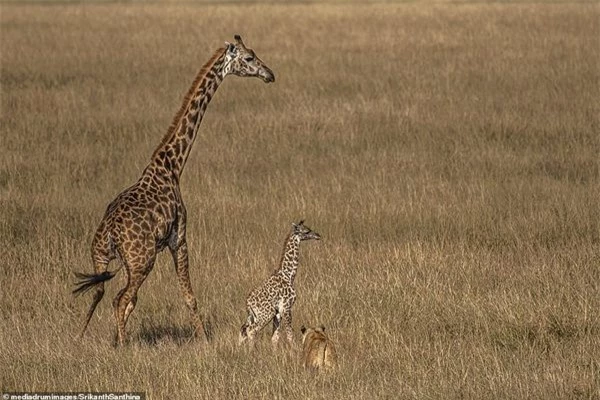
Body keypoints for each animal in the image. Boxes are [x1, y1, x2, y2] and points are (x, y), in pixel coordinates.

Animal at [74, 36, 276, 346]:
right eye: (249, 58)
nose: (270, 75)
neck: (171, 164)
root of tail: (111, 233)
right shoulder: (179, 237)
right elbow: (189, 296)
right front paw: (204, 339)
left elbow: (136, 301)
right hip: (142, 260)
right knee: (120, 298)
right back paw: (123, 345)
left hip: (101, 256)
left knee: (99, 293)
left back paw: (83, 337)